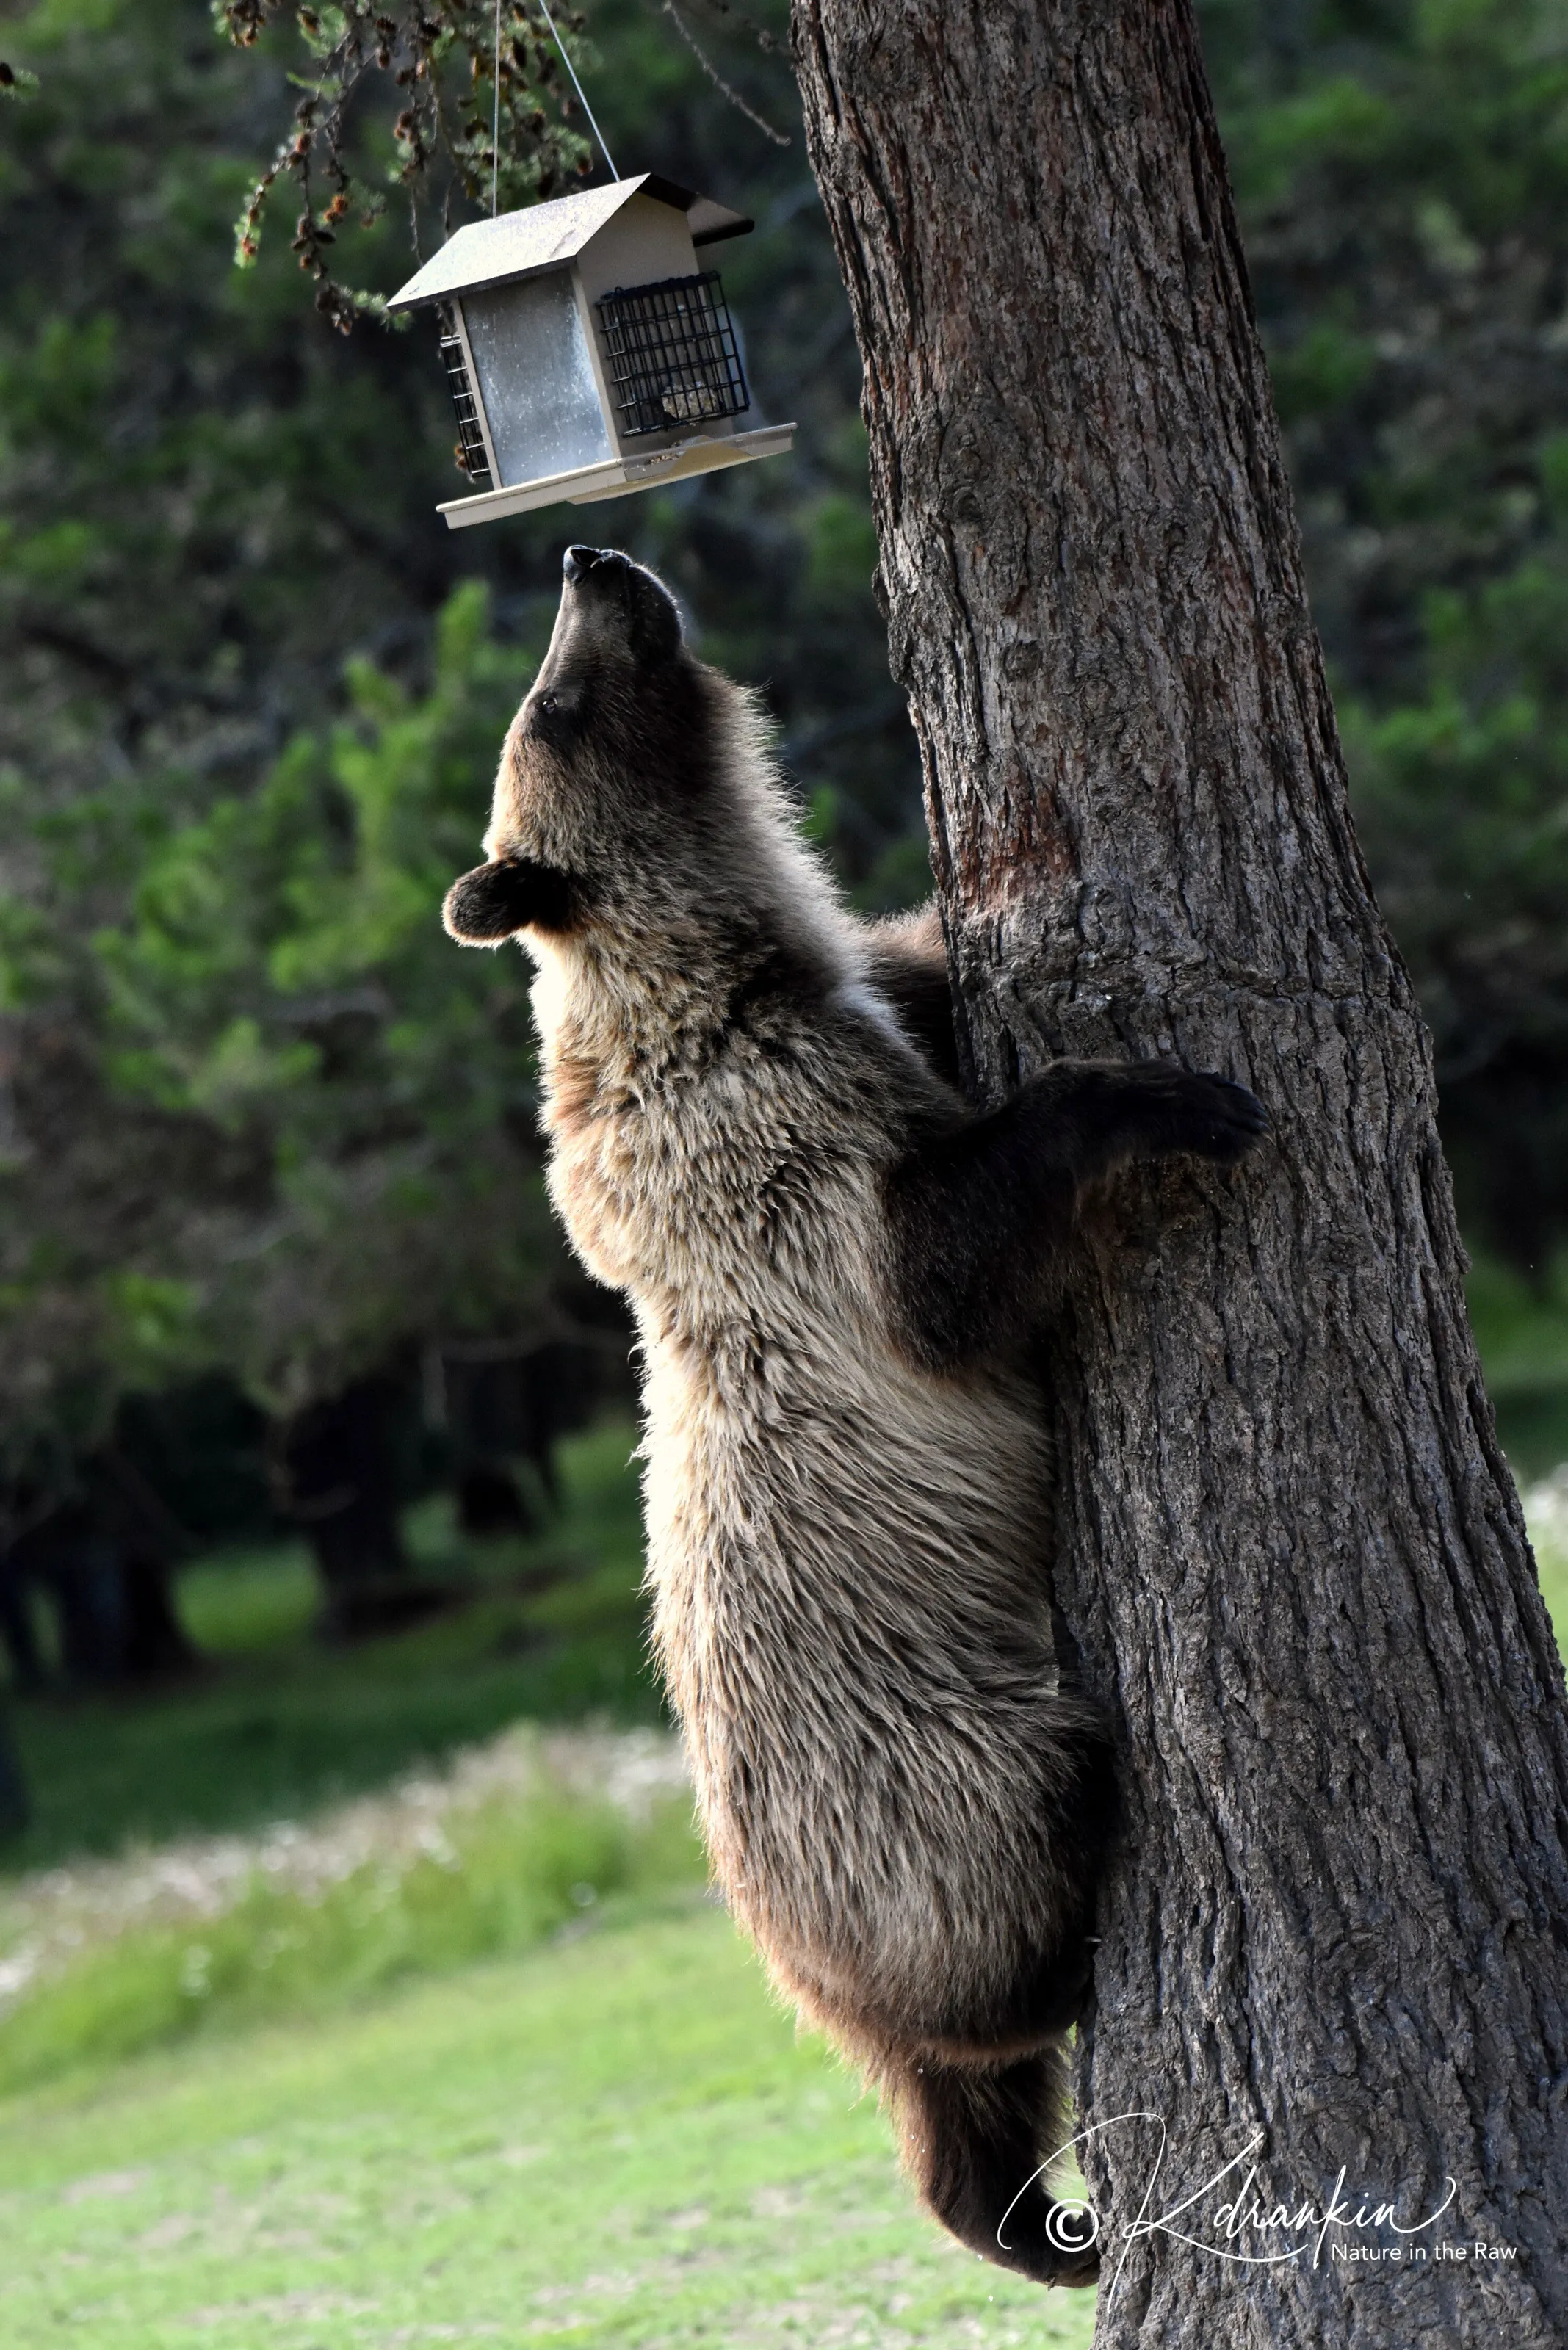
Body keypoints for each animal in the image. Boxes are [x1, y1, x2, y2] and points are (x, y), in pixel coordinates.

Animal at [443, 544, 1267, 2287]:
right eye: (555, 702)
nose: (592, 559)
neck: (749, 970)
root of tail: (799, 1955)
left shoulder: (857, 1024)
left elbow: (925, 970)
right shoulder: (786, 1186)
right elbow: (949, 1265)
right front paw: (1169, 1096)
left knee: (959, 2107)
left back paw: (1035, 2221)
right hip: (924, 1786)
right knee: (1013, 1907)